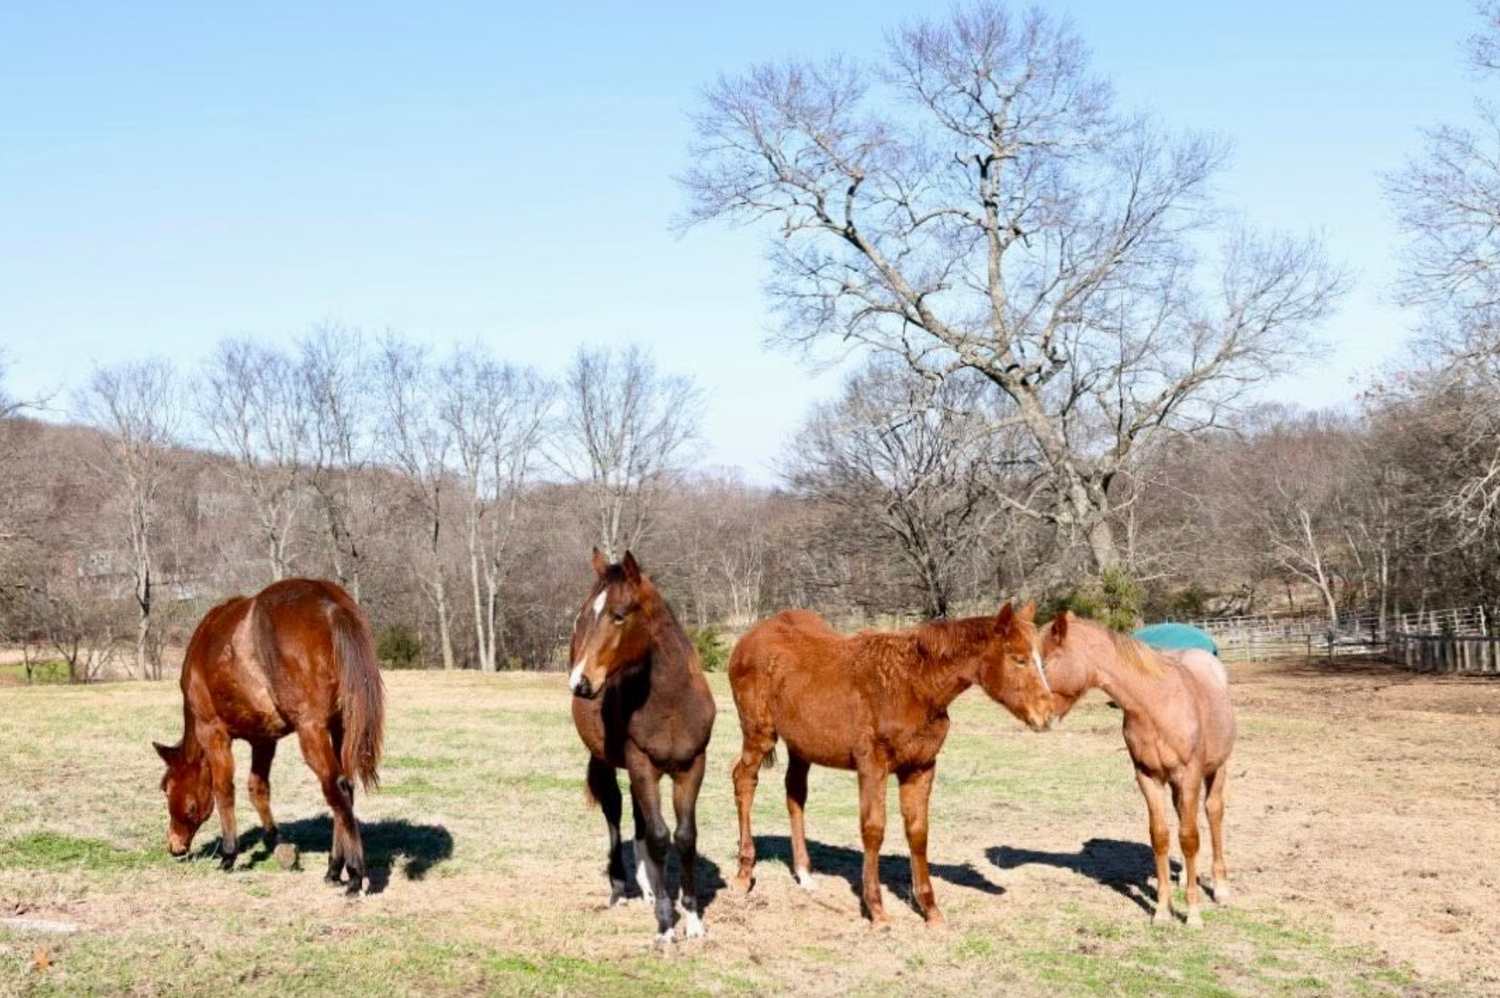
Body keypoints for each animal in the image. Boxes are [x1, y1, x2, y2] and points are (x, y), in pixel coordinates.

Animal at [152, 578, 385, 895]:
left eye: (167, 787)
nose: (174, 846)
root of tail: (331, 603)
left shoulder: (213, 733)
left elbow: (224, 790)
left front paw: (229, 853)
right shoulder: (263, 740)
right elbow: (257, 789)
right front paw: (276, 842)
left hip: (311, 731)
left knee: (335, 788)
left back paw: (354, 874)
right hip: (341, 727)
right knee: (345, 789)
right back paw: (334, 868)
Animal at [569, 549, 716, 944]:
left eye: (619, 615)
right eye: (586, 614)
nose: (580, 682)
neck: (671, 703)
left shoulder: (691, 768)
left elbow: (684, 837)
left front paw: (692, 918)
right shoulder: (642, 765)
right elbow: (659, 836)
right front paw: (666, 924)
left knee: (639, 820)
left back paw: (648, 887)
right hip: (607, 761)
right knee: (616, 811)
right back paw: (621, 889)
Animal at [728, 602, 1054, 926]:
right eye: (1019, 659)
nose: (1047, 715)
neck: (913, 685)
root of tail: (748, 638)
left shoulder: (920, 767)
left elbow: (918, 831)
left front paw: (931, 910)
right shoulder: (872, 767)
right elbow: (873, 829)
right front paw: (877, 910)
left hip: (801, 746)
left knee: (795, 793)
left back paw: (805, 874)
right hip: (759, 735)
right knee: (744, 780)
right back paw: (743, 875)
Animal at [1042, 612, 1236, 927]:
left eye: (1044, 663)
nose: (1038, 716)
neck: (1156, 704)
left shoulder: (1189, 775)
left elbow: (1189, 838)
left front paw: (1193, 914)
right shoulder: (1148, 777)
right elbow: (1161, 836)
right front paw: (1162, 911)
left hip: (1216, 769)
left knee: (1213, 813)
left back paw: (1220, 888)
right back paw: (1185, 878)